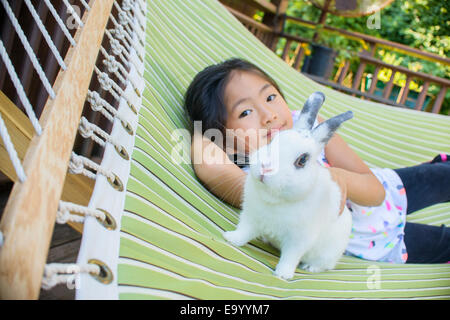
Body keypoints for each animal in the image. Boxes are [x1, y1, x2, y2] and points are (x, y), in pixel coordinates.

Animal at [223, 91, 354, 278]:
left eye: (302, 160)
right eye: (272, 142)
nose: (265, 167)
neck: (276, 200)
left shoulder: (298, 240)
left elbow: (290, 257)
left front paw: (282, 275)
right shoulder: (250, 217)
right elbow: (244, 232)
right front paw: (230, 238)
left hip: (327, 255)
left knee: (324, 265)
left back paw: (310, 267)